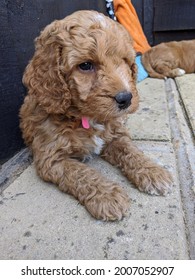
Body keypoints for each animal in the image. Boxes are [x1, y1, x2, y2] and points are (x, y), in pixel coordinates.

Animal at [19, 10, 172, 221]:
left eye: (124, 61)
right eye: (85, 65)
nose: (126, 99)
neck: (86, 117)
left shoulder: (115, 135)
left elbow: (129, 149)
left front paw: (152, 171)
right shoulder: (50, 156)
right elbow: (79, 172)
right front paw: (107, 195)